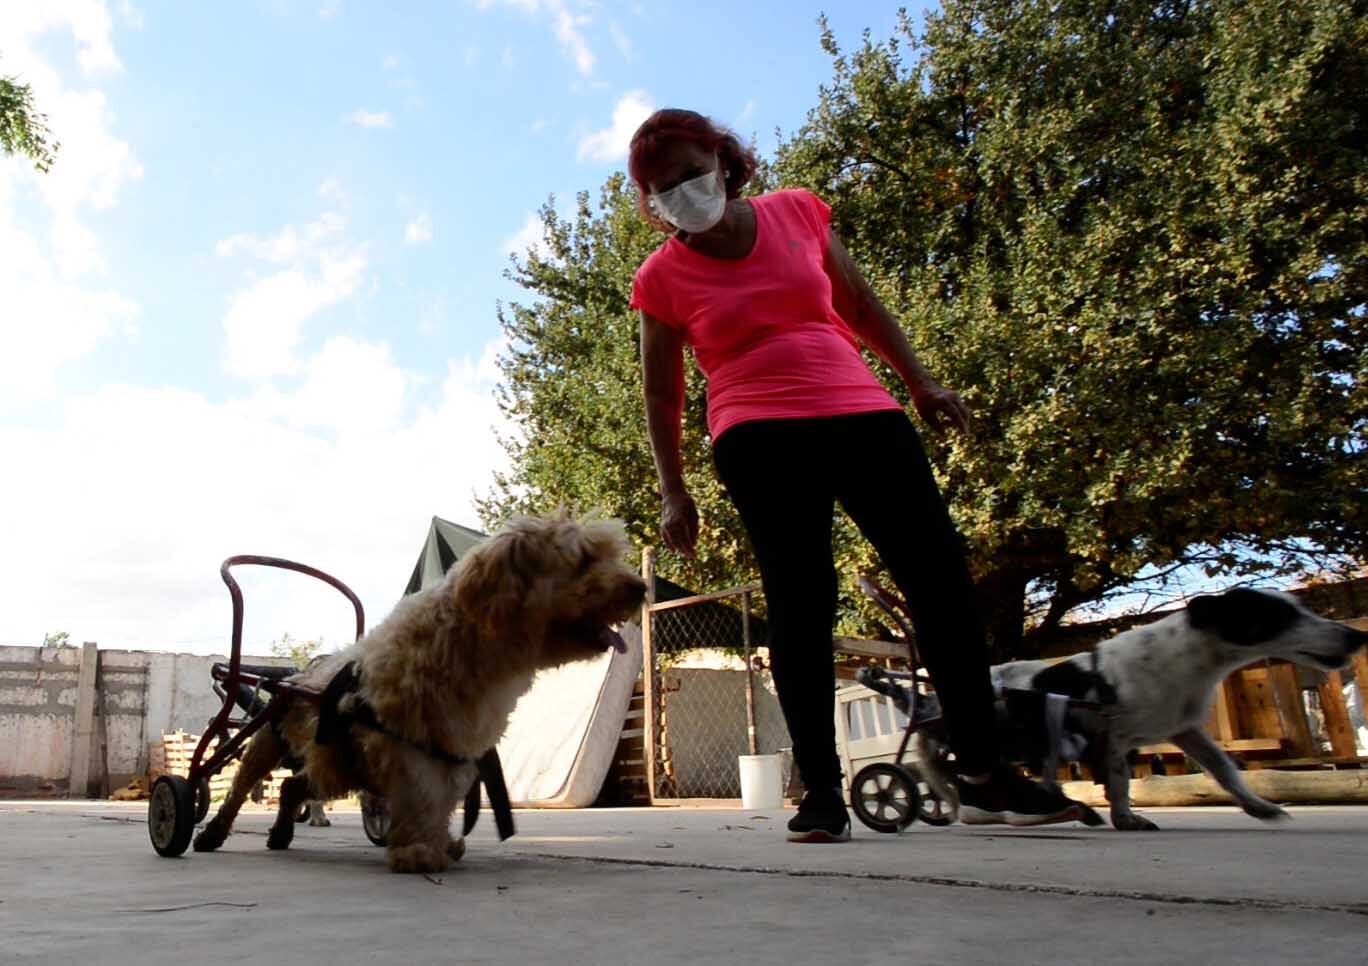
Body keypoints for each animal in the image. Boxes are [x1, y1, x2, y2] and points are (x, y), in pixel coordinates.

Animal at [188, 511, 651, 875]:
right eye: (584, 559)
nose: (641, 587)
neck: (469, 644)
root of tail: (296, 675)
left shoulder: (452, 748)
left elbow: (440, 799)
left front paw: (437, 842)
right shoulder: (408, 745)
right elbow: (422, 793)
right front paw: (417, 851)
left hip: (335, 762)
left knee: (292, 788)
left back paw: (282, 832)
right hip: (268, 743)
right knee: (237, 787)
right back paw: (210, 831)